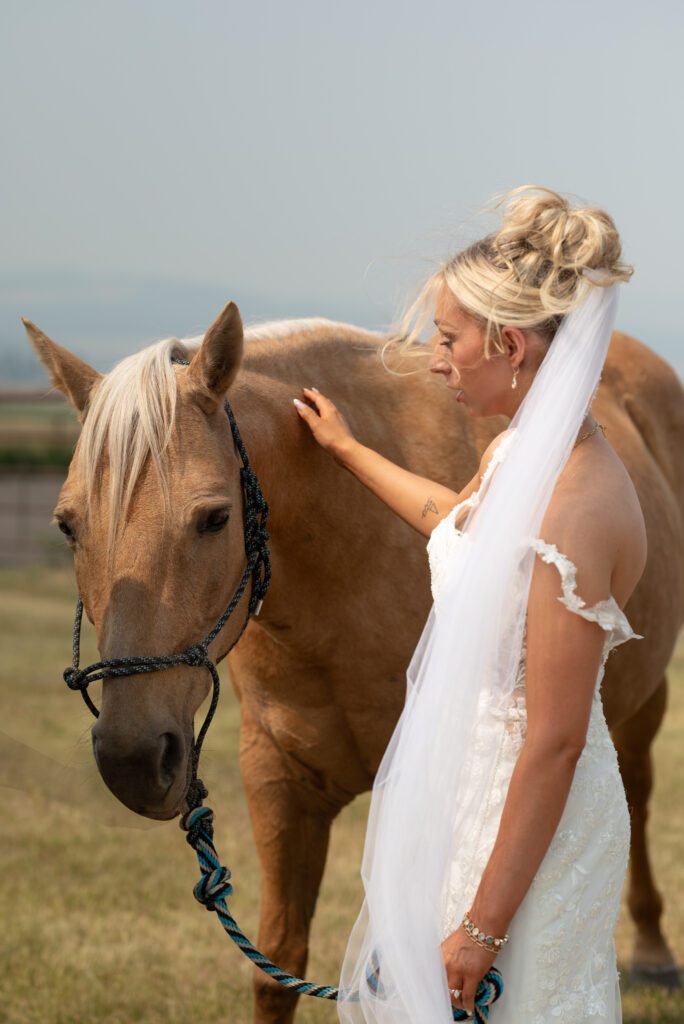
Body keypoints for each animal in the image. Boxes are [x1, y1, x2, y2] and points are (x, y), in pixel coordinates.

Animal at [24, 299, 684, 1022]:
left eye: (214, 518)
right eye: (67, 525)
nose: (133, 758)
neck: (349, 558)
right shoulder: (276, 778)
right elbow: (276, 965)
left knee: (639, 792)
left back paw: (653, 949)